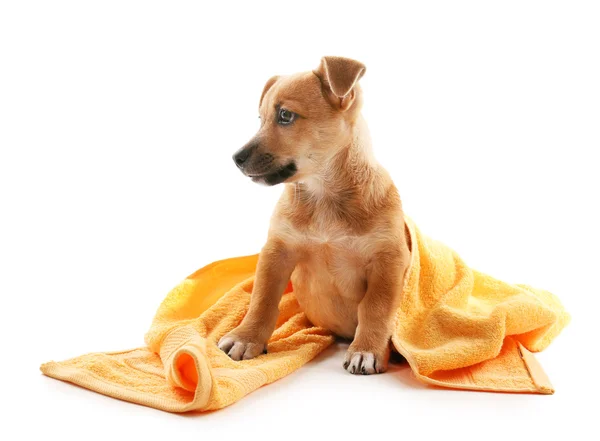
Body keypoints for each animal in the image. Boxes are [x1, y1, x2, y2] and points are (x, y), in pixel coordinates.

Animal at [218, 55, 410, 374]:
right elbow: (262, 298)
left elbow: (376, 308)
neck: (323, 195)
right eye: (261, 118)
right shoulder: (277, 251)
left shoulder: (389, 260)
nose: (236, 159)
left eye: (285, 115)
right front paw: (246, 338)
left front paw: (366, 350)